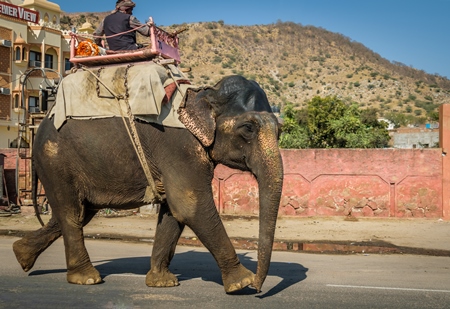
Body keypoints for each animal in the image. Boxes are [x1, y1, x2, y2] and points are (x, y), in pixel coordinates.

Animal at [12, 73, 284, 292]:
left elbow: (174, 211)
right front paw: (241, 283)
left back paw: (21, 254)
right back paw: (87, 279)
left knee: (79, 212)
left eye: (280, 130)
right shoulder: (178, 147)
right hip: (54, 160)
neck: (203, 94)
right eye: (248, 128)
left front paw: (162, 282)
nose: (259, 288)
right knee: (71, 213)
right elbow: (190, 205)